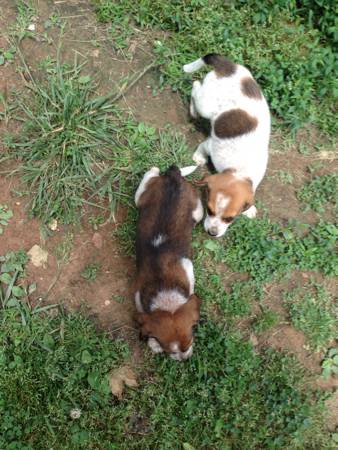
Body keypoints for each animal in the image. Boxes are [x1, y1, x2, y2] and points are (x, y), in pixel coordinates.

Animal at [134, 165, 203, 362]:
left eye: (189, 343)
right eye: (171, 352)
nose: (184, 359)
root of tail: (174, 178)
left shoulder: (188, 267)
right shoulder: (138, 296)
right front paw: (153, 343)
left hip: (198, 211)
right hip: (140, 198)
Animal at [184, 52, 270, 237]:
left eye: (230, 219)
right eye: (209, 210)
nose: (212, 233)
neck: (238, 171)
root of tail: (227, 66)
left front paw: (249, 210)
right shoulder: (210, 145)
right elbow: (202, 148)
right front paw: (199, 158)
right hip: (205, 105)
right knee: (195, 86)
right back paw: (193, 111)